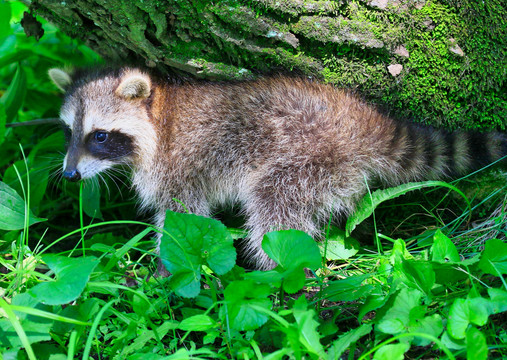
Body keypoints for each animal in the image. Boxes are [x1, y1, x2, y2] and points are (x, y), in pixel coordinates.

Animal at [49, 67, 507, 270]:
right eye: (70, 132)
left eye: (100, 136)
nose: (70, 175)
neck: (159, 112)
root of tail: (362, 120)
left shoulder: (178, 167)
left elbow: (184, 221)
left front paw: (167, 269)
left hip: (306, 154)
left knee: (275, 214)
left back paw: (281, 274)